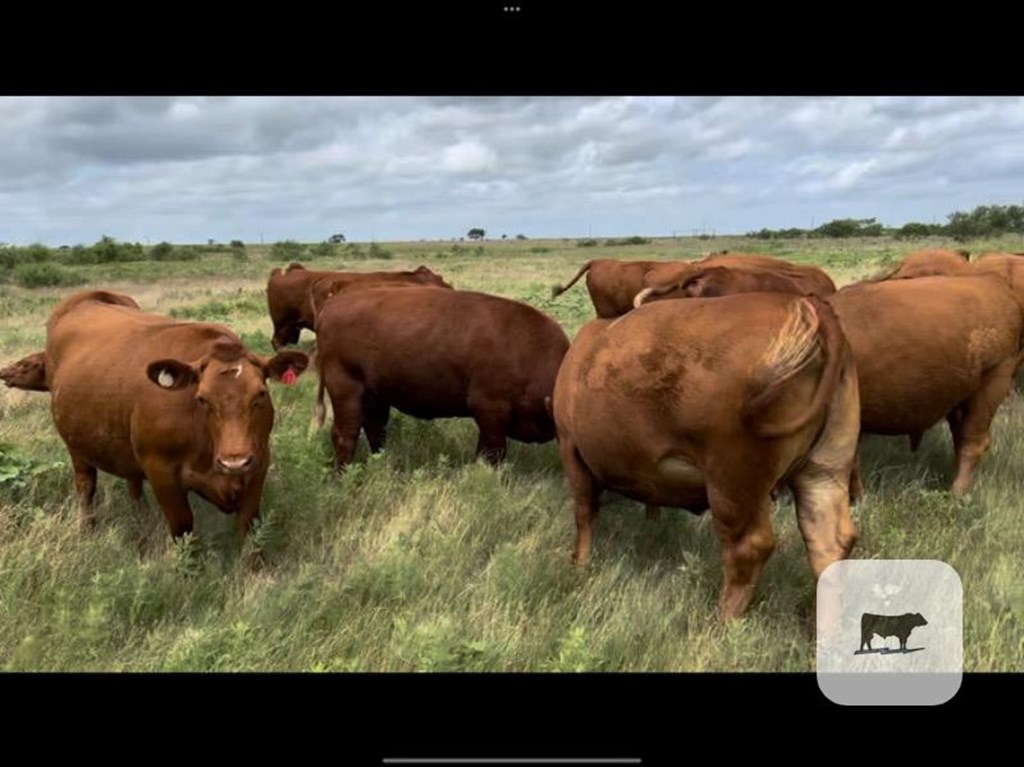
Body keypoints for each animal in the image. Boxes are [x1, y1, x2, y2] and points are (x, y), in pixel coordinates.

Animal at [45, 288, 307, 536]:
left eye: (261, 394)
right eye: (202, 398)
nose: (235, 461)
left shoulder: (259, 464)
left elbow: (249, 530)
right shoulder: (161, 473)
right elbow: (183, 528)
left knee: (133, 485)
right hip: (76, 448)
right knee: (86, 486)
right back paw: (87, 528)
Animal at [313, 286, 569, 466]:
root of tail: (330, 307)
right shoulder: (491, 410)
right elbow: (493, 453)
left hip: (375, 396)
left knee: (376, 431)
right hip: (346, 390)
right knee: (345, 434)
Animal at [548, 290, 860, 618]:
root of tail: (816, 312)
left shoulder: (570, 446)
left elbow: (584, 512)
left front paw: (579, 564)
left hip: (733, 480)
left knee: (749, 546)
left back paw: (722, 618)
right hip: (825, 468)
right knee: (829, 543)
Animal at [827, 274, 1019, 497]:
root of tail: (1000, 289)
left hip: (992, 383)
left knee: (973, 441)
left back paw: (956, 494)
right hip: (958, 397)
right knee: (961, 436)